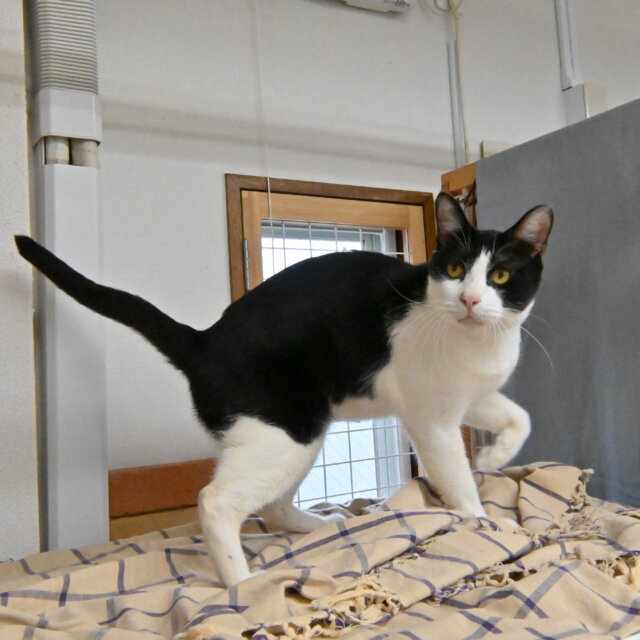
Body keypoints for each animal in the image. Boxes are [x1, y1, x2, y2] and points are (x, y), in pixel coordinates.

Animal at [15, 192, 553, 587]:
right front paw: (484, 520)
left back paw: (332, 527)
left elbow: (521, 418)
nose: (470, 300)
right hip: (287, 432)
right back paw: (241, 586)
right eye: (457, 271)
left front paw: (492, 457)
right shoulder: (432, 419)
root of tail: (204, 340)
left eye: (500, 275)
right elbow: (456, 478)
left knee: (271, 506)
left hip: (300, 434)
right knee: (217, 503)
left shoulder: (473, 396)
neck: (478, 342)